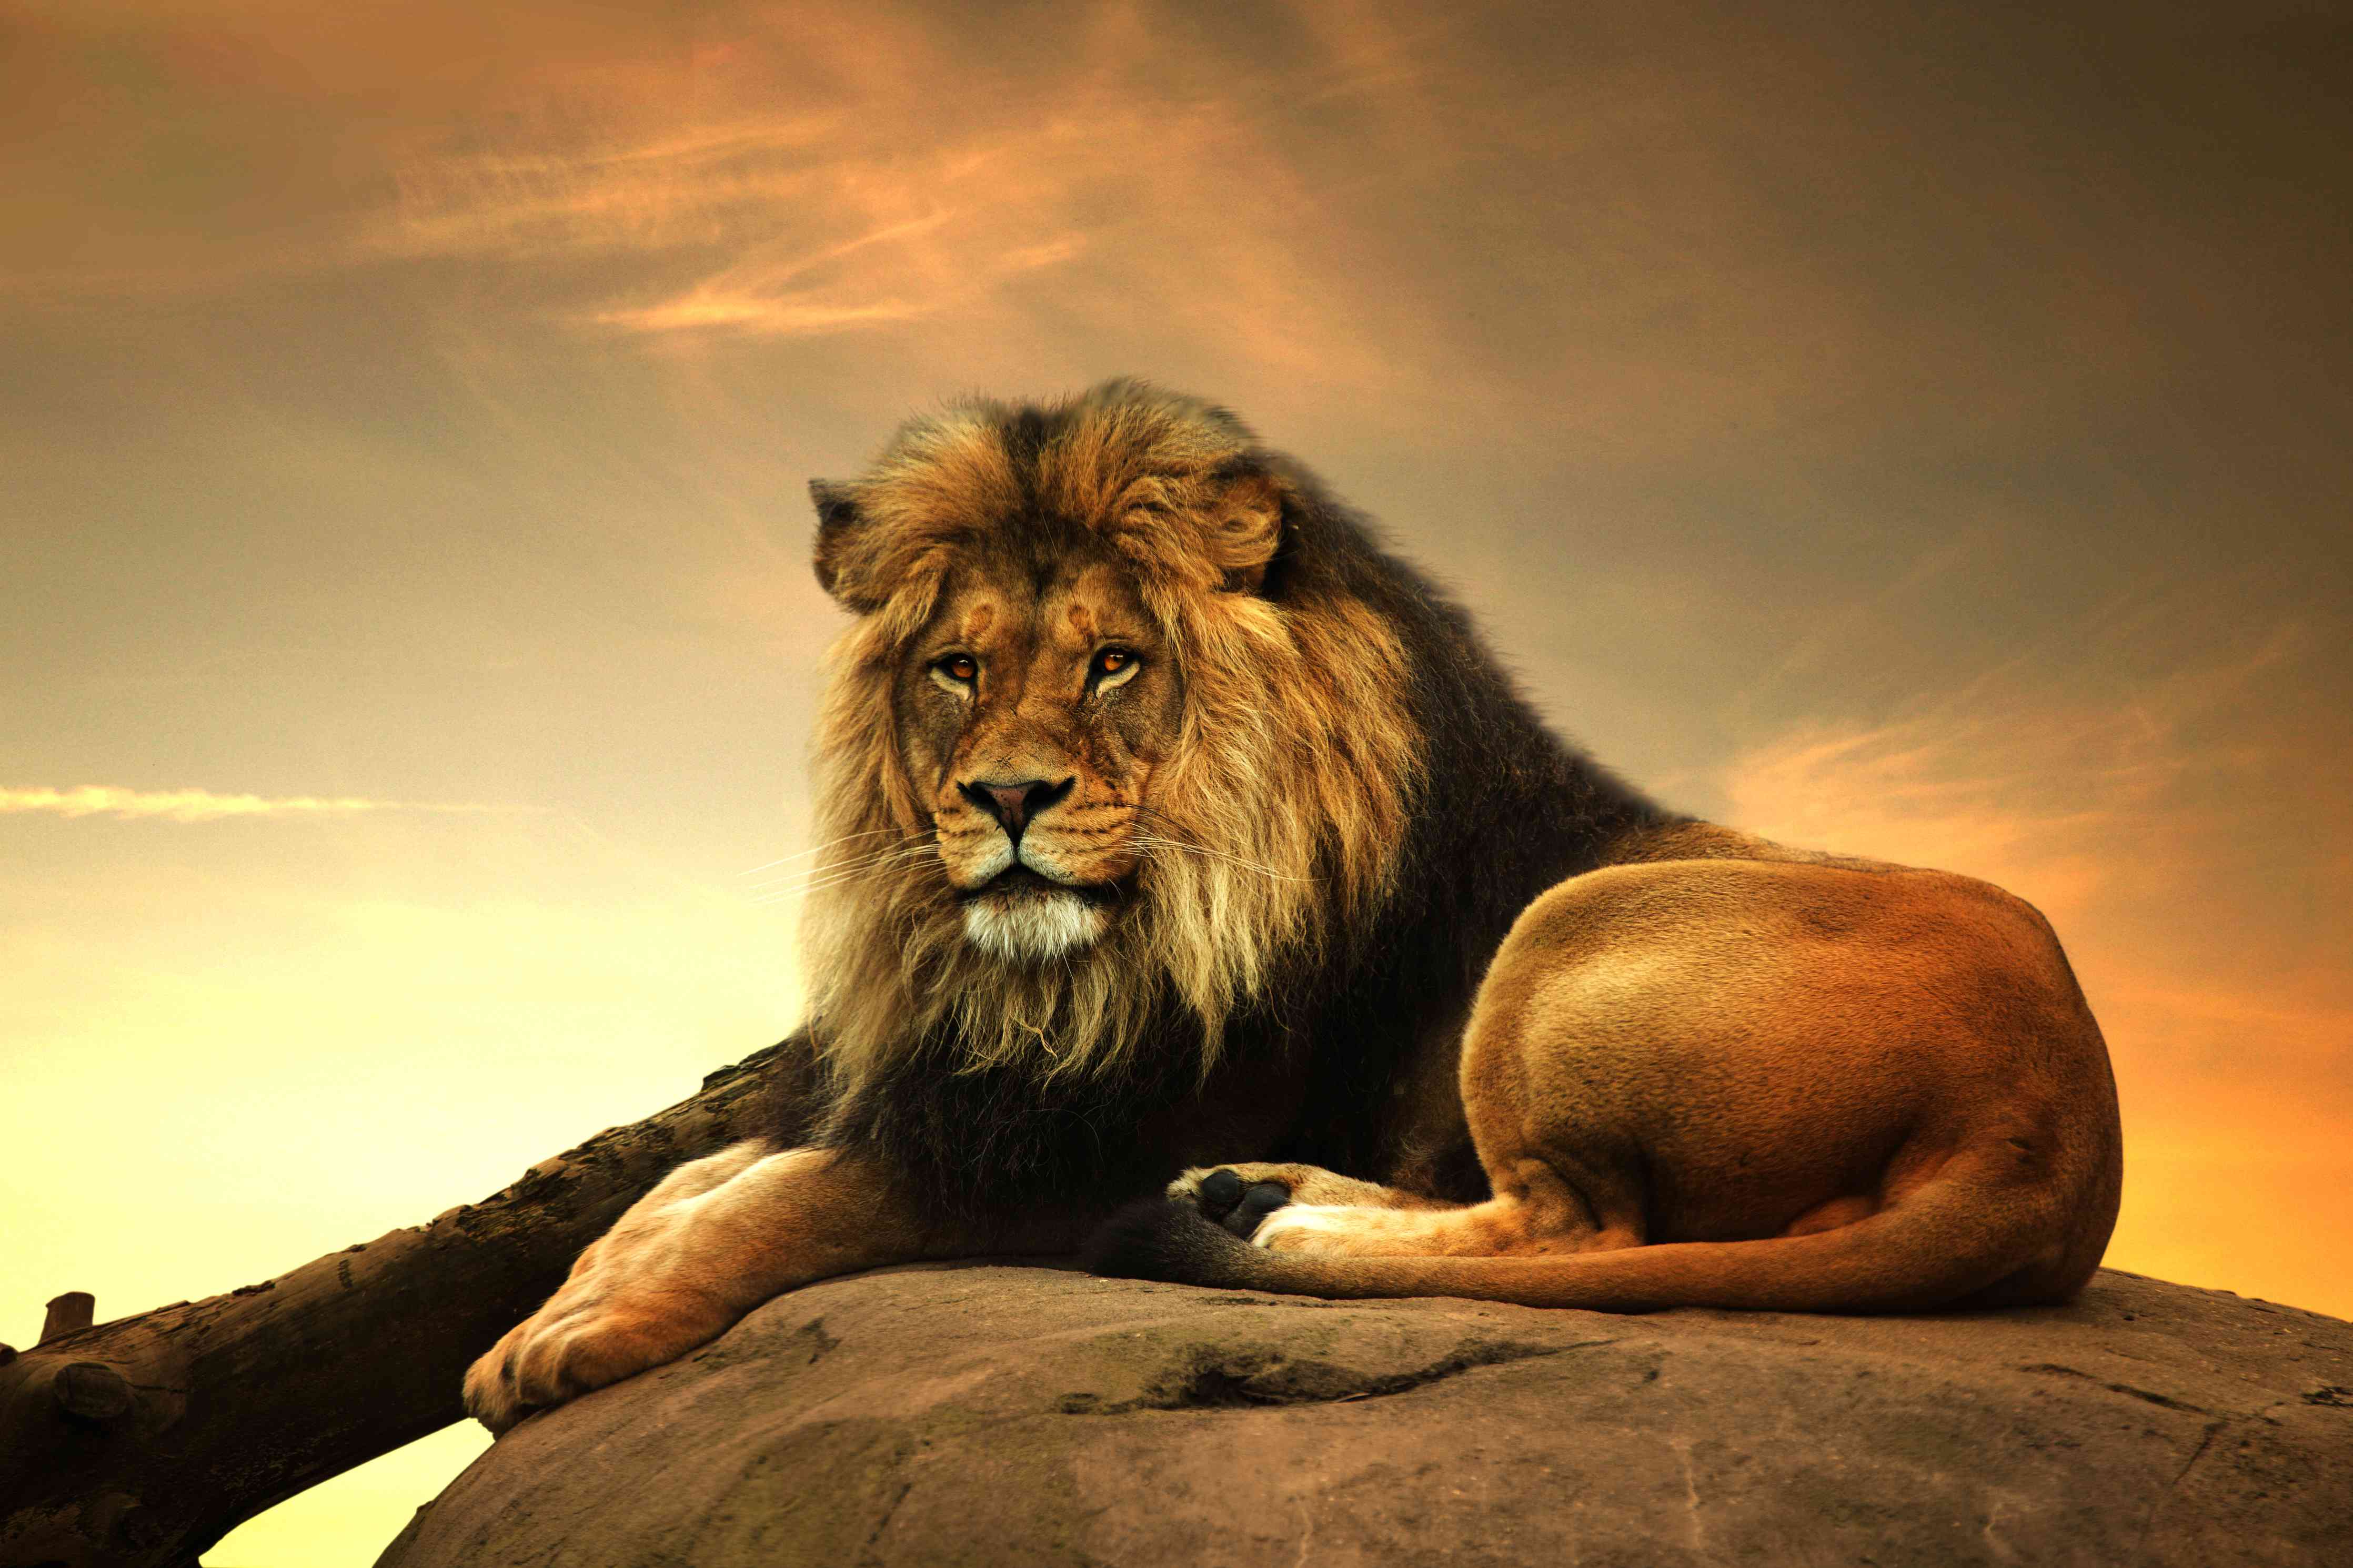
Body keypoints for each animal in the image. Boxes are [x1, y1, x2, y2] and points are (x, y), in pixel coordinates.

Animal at [462, 380, 2123, 1434]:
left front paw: (584, 1331)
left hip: (1566, 930)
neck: (1063, 969)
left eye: (1112, 663)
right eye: (957, 668)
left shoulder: (1068, 1140)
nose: (1006, 799)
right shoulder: (958, 1083)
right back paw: (1257, 1195)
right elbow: (692, 1179)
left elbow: (791, 1195)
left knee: (1571, 1224)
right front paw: (557, 1303)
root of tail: (2056, 1133)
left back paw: (1270, 1211)